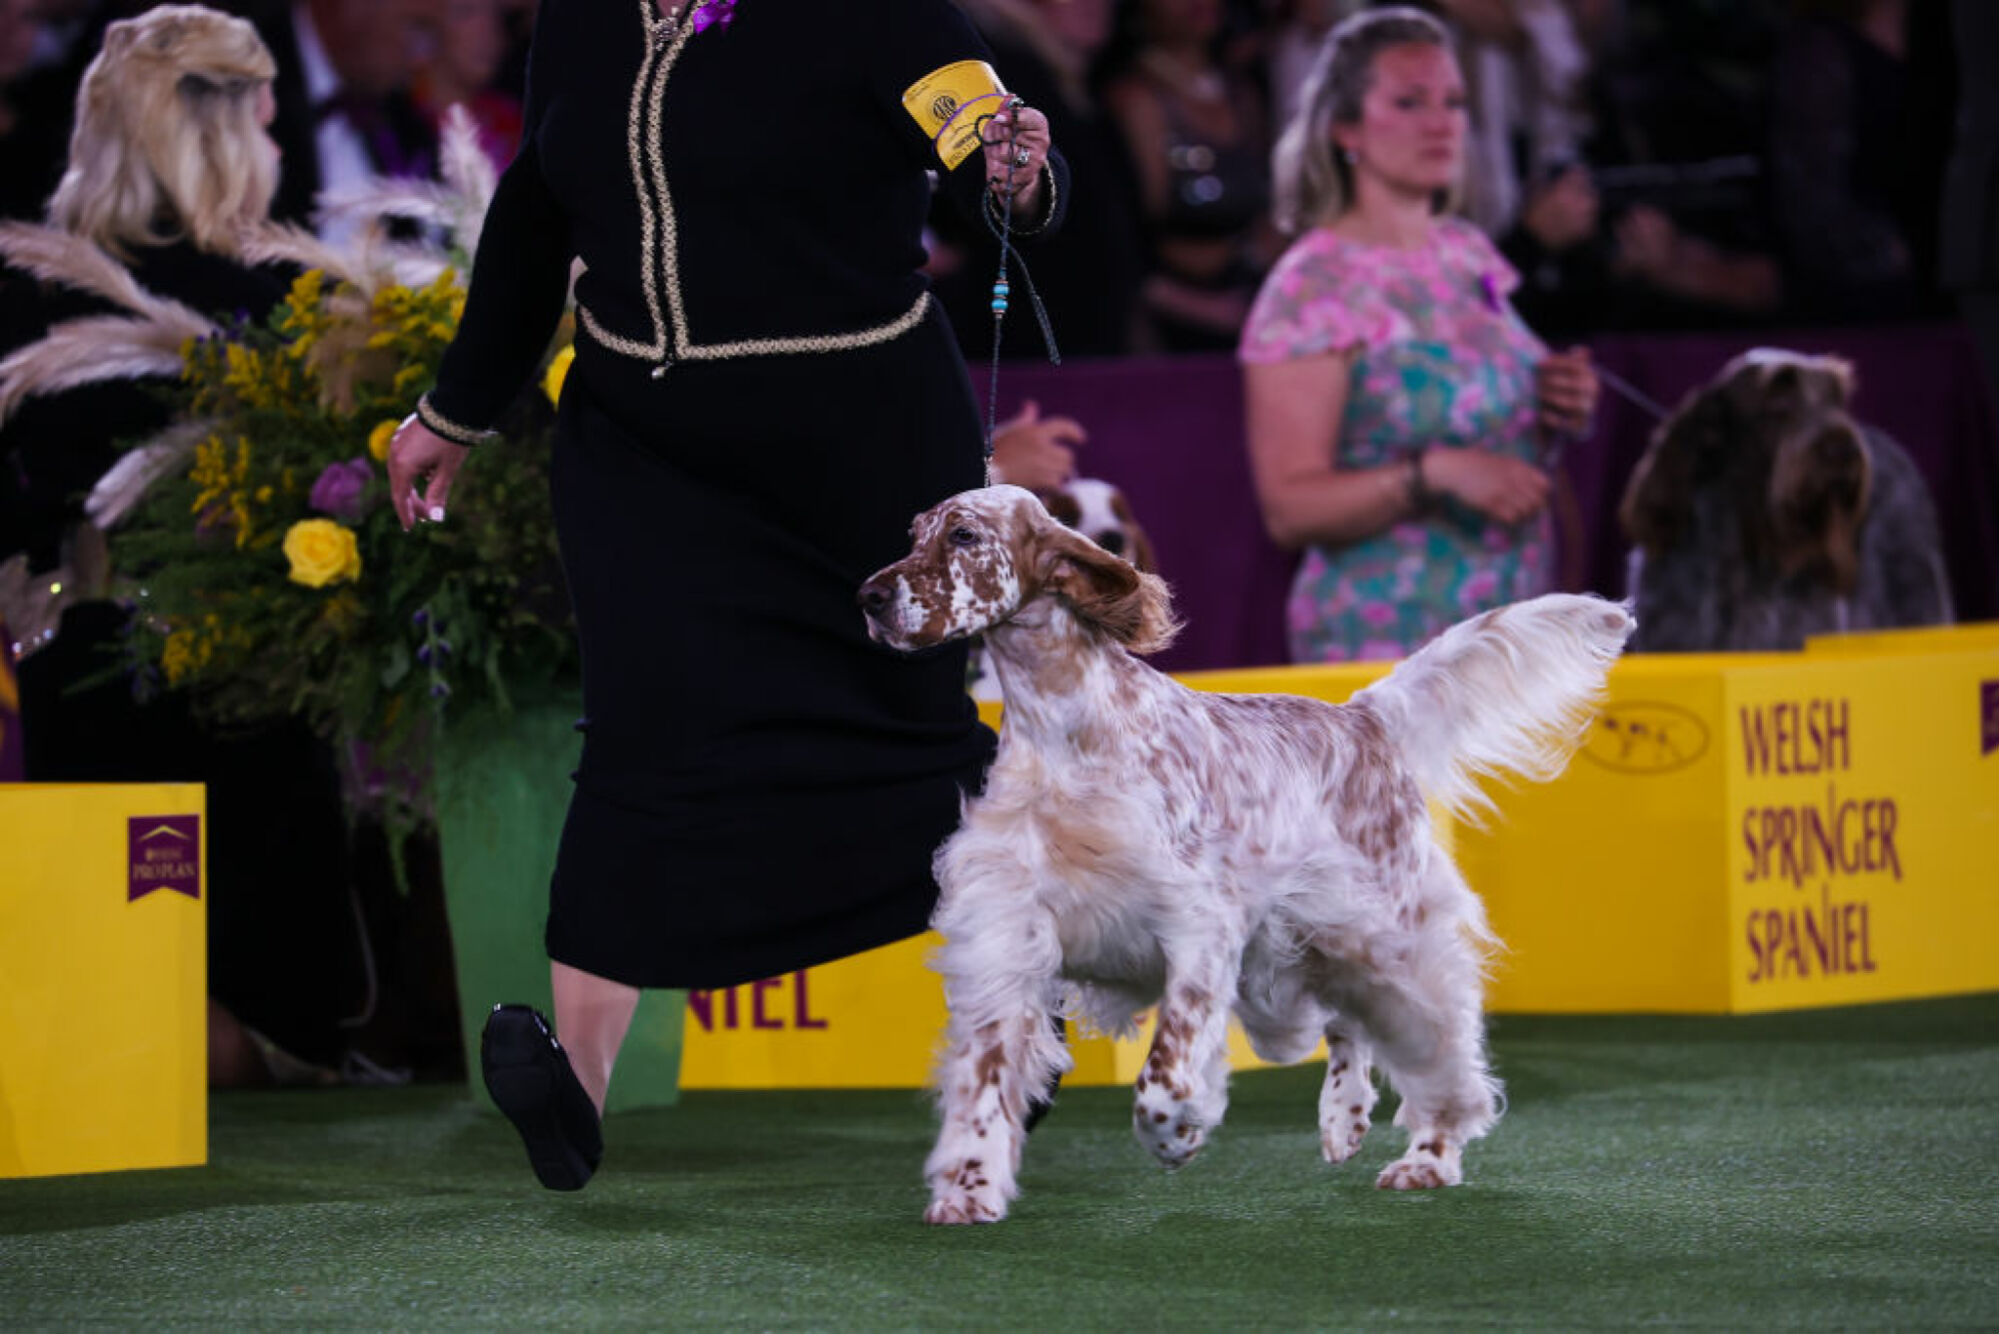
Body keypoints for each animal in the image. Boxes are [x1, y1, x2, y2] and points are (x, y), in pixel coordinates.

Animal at [863, 486, 1639, 1224]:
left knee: (1436, 1046)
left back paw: (1428, 1154)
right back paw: (1344, 1118)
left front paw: (1175, 1134)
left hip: (1387, 934)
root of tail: (1361, 716)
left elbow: (1161, 1075)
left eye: (964, 535)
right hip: (1300, 953)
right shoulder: (1006, 934)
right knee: (1345, 1023)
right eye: (914, 534)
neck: (1066, 732)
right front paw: (969, 1190)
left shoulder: (1196, 926)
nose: (869, 596)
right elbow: (985, 1083)